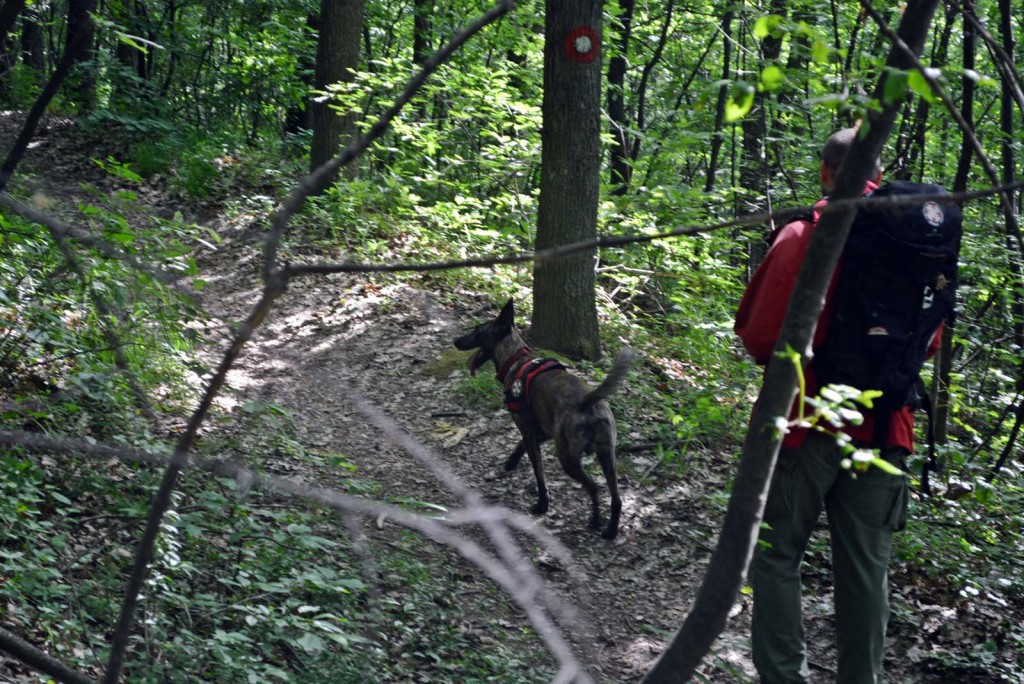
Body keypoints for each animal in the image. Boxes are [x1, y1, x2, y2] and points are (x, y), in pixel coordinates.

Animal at [454, 298, 630, 540]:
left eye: (477, 331)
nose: (455, 341)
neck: (516, 358)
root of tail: (587, 402)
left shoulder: (529, 433)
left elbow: (539, 475)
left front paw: (542, 504)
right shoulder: (542, 430)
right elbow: (520, 446)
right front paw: (511, 462)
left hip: (567, 458)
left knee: (594, 487)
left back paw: (595, 520)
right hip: (607, 455)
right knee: (616, 498)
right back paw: (611, 530)